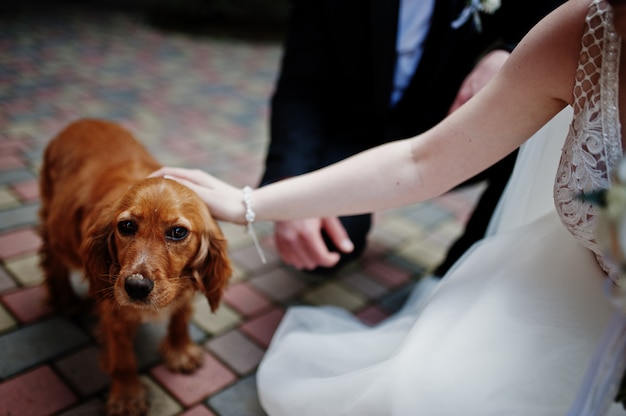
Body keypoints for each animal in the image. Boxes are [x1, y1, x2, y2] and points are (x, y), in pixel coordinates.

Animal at [37, 118, 232, 416]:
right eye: (126, 226)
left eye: (178, 232)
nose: (136, 287)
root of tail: (81, 121)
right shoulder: (114, 308)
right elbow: (123, 359)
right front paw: (127, 397)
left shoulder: (181, 284)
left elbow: (181, 316)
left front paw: (180, 350)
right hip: (55, 225)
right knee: (53, 261)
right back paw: (66, 301)